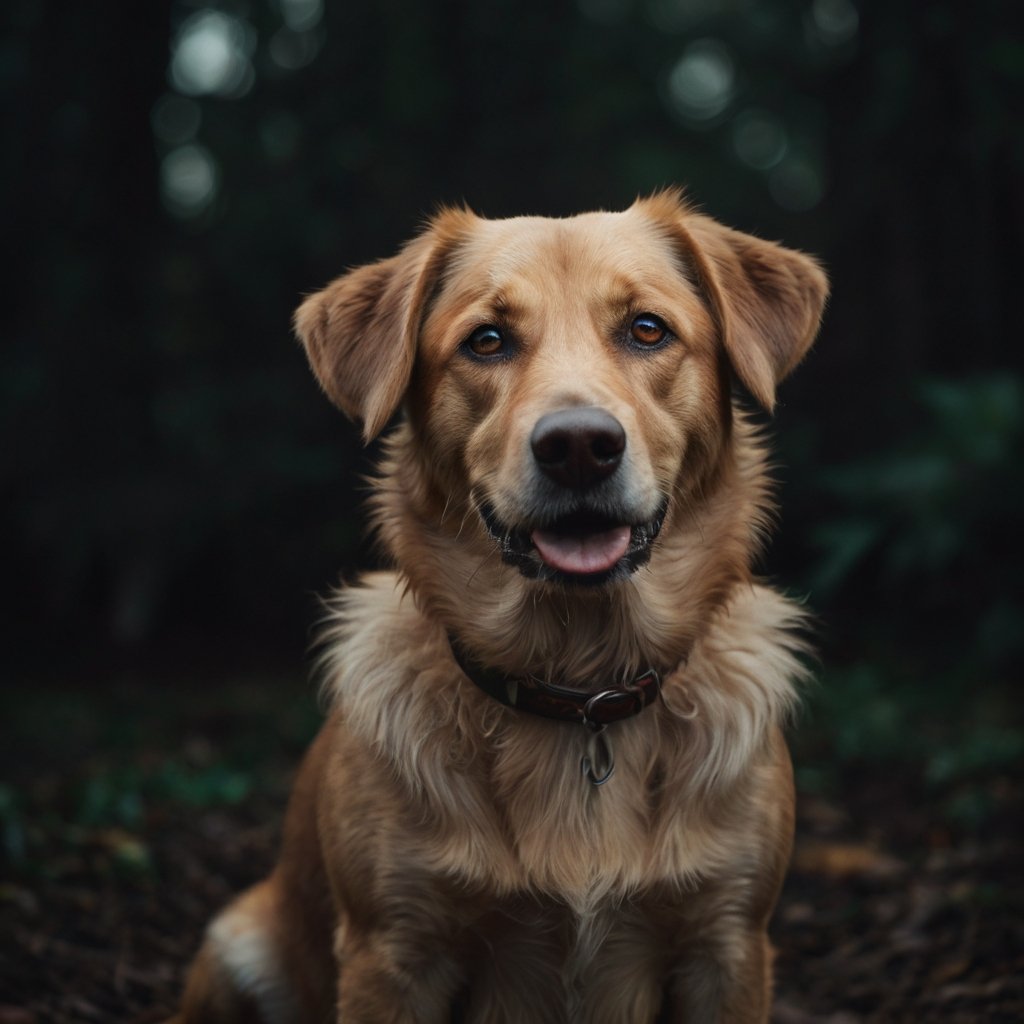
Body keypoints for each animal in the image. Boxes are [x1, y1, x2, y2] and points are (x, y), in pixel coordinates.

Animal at [167, 188, 823, 1019]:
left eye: (648, 329)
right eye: (486, 341)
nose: (579, 447)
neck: (578, 686)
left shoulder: (729, 943)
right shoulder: (394, 952)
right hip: (239, 945)